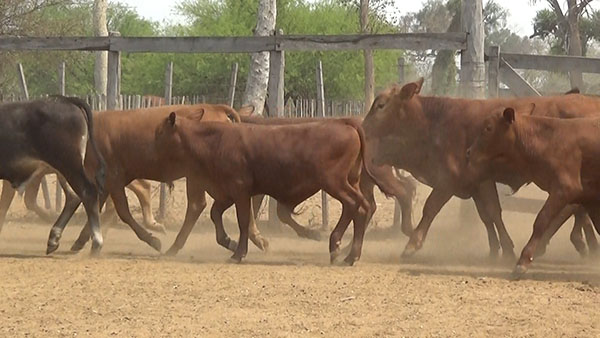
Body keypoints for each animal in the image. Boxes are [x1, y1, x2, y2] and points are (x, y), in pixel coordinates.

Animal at [0, 96, 105, 252]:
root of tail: (66, 101)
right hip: (62, 170)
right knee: (73, 197)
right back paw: (54, 238)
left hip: (69, 164)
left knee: (88, 192)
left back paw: (97, 241)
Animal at [48, 104, 241, 255]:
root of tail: (217, 108)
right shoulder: (104, 182)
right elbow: (96, 206)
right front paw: (80, 240)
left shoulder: (113, 178)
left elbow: (123, 212)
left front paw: (152, 240)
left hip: (197, 176)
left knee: (196, 205)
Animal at [156, 113, 390, 264]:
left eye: (160, 132)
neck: (214, 141)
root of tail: (344, 123)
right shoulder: (225, 193)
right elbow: (216, 214)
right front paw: (228, 242)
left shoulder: (240, 191)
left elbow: (243, 221)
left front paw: (239, 253)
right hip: (350, 180)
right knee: (362, 208)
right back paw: (351, 255)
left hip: (335, 182)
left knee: (353, 204)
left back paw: (336, 246)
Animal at [364, 79, 600, 258]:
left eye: (381, 105)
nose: (364, 127)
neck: (435, 123)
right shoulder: (477, 183)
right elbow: (488, 214)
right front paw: (498, 249)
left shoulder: (451, 180)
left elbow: (432, 208)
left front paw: (413, 244)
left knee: (571, 208)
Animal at [468, 108, 600, 278]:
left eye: (488, 128)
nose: (469, 152)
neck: (548, 140)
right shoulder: (589, 197)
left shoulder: (565, 189)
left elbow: (541, 221)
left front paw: (522, 262)